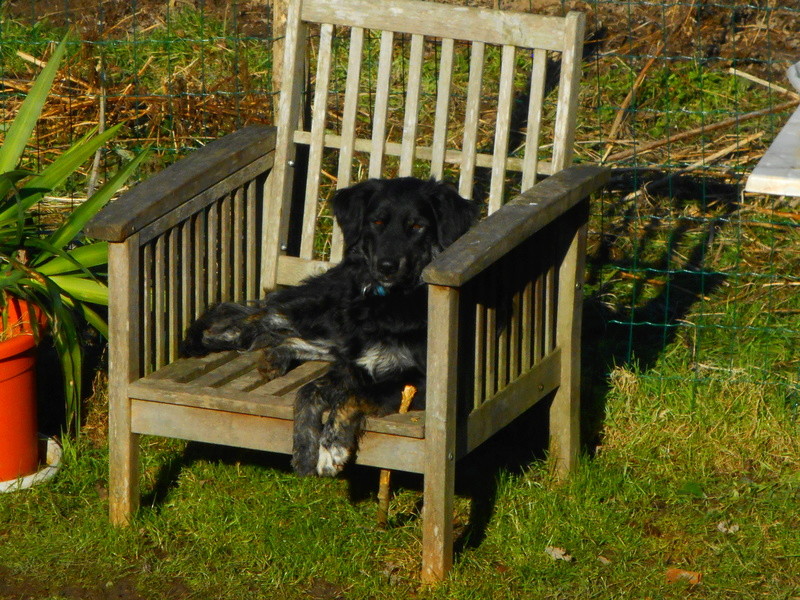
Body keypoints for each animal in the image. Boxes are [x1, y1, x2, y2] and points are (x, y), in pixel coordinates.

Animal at [181, 176, 478, 476]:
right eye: (377, 222)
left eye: (417, 226)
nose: (386, 266)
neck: (390, 300)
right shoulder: (355, 365)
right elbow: (307, 391)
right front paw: (305, 447)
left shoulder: (419, 383)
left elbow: (348, 396)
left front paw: (330, 447)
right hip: (327, 312)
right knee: (268, 312)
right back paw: (221, 336)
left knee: (288, 332)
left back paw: (269, 353)